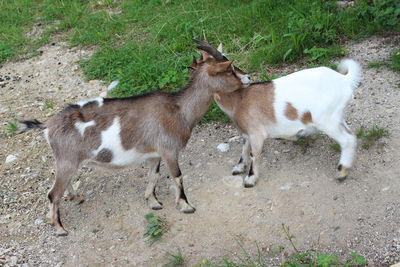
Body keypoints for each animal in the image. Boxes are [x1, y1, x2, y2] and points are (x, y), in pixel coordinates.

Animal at [19, 40, 250, 237]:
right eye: (229, 69)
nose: (247, 77)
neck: (179, 110)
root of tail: (48, 124)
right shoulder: (169, 150)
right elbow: (177, 176)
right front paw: (186, 206)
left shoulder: (154, 154)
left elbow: (154, 176)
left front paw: (154, 202)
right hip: (67, 159)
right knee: (52, 193)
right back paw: (60, 228)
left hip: (67, 161)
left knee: (62, 184)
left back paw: (76, 197)